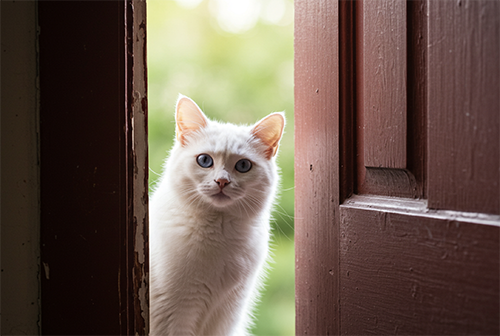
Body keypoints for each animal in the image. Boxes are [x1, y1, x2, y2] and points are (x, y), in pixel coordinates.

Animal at [149, 95, 286, 336]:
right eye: (204, 160)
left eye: (243, 165)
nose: (222, 181)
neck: (220, 235)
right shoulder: (172, 317)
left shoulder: (228, 314)